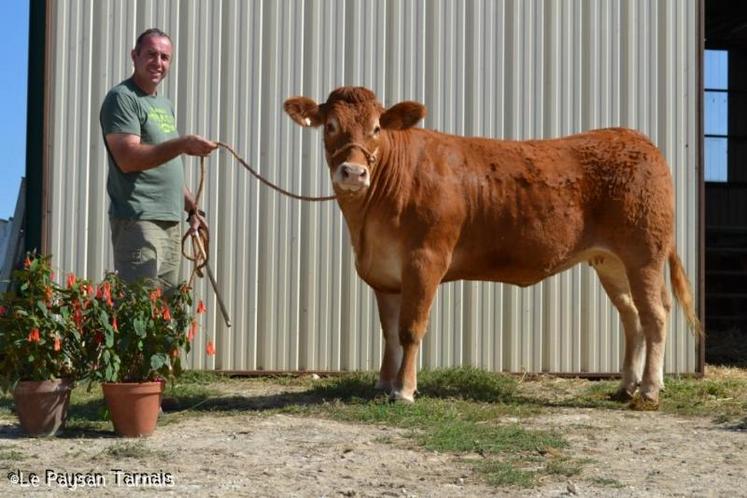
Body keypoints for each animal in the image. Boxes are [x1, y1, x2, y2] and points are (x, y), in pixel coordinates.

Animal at [284, 86, 700, 408]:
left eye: (375, 128)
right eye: (331, 126)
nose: (353, 173)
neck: (368, 222)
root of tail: (636, 139)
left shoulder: (425, 260)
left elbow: (410, 329)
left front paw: (404, 391)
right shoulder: (384, 274)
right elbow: (388, 333)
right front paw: (384, 384)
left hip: (644, 253)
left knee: (655, 314)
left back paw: (648, 390)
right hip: (610, 261)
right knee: (631, 316)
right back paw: (625, 385)